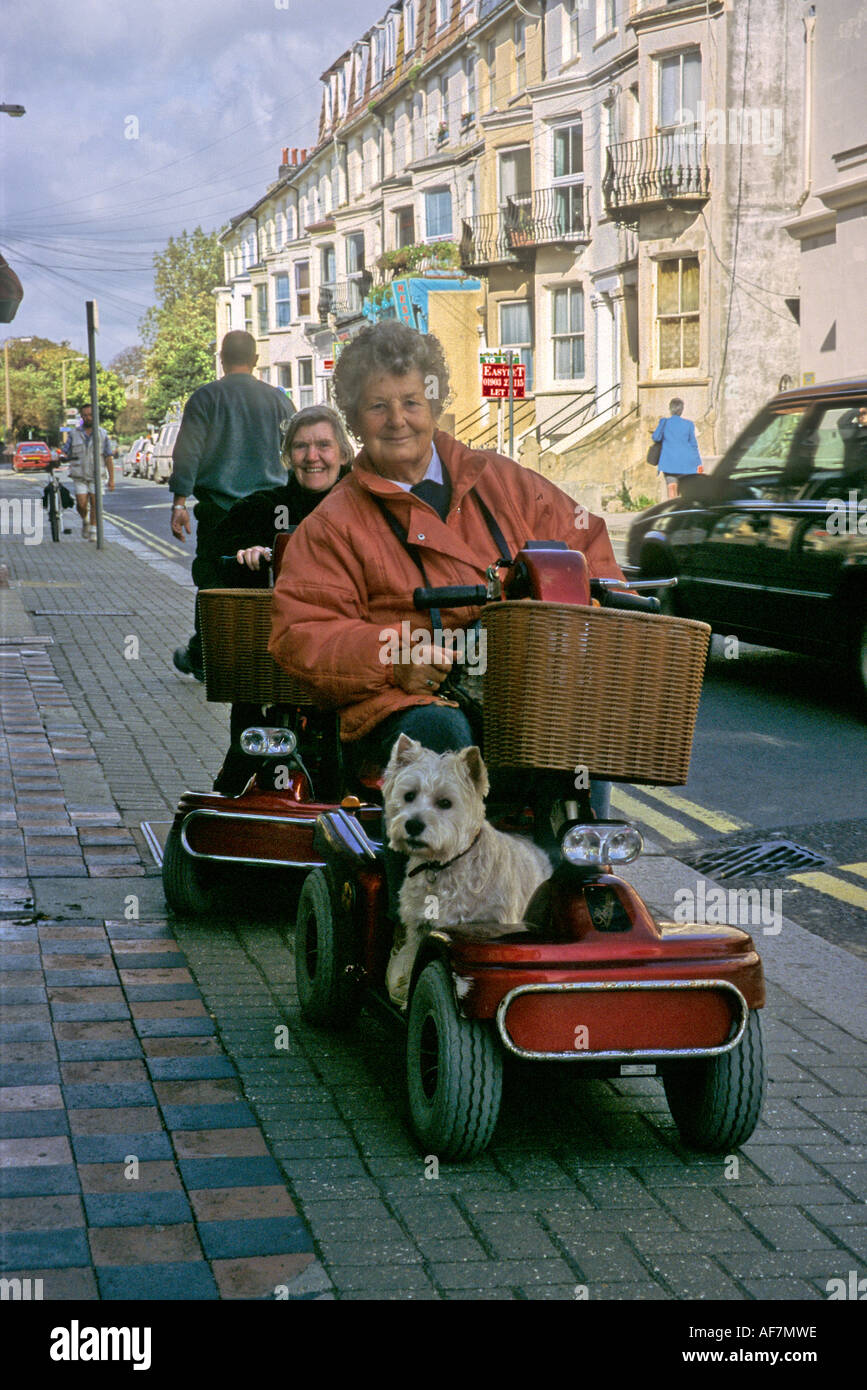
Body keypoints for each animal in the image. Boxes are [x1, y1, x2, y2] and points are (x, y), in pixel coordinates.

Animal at [380, 739, 547, 1011]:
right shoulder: (419, 928)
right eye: (409, 796)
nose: (413, 825)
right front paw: (406, 994)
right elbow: (414, 960)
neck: (442, 866)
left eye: (445, 803)